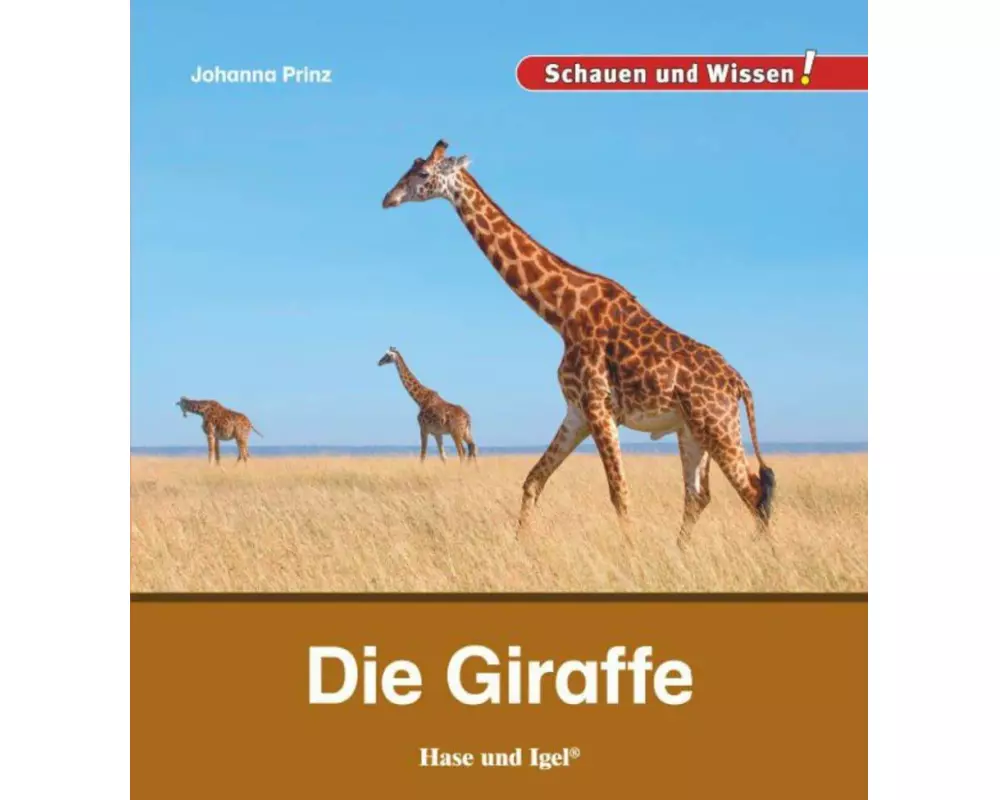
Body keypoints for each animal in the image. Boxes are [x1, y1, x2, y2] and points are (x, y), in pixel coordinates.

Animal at [381, 140, 776, 547]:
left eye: (423, 173)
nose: (388, 198)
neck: (562, 313)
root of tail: (739, 384)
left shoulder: (599, 406)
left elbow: (619, 493)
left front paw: (629, 551)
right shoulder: (577, 411)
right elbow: (533, 480)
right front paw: (521, 543)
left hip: (718, 425)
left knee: (754, 491)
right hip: (691, 430)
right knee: (699, 495)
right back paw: (680, 551)